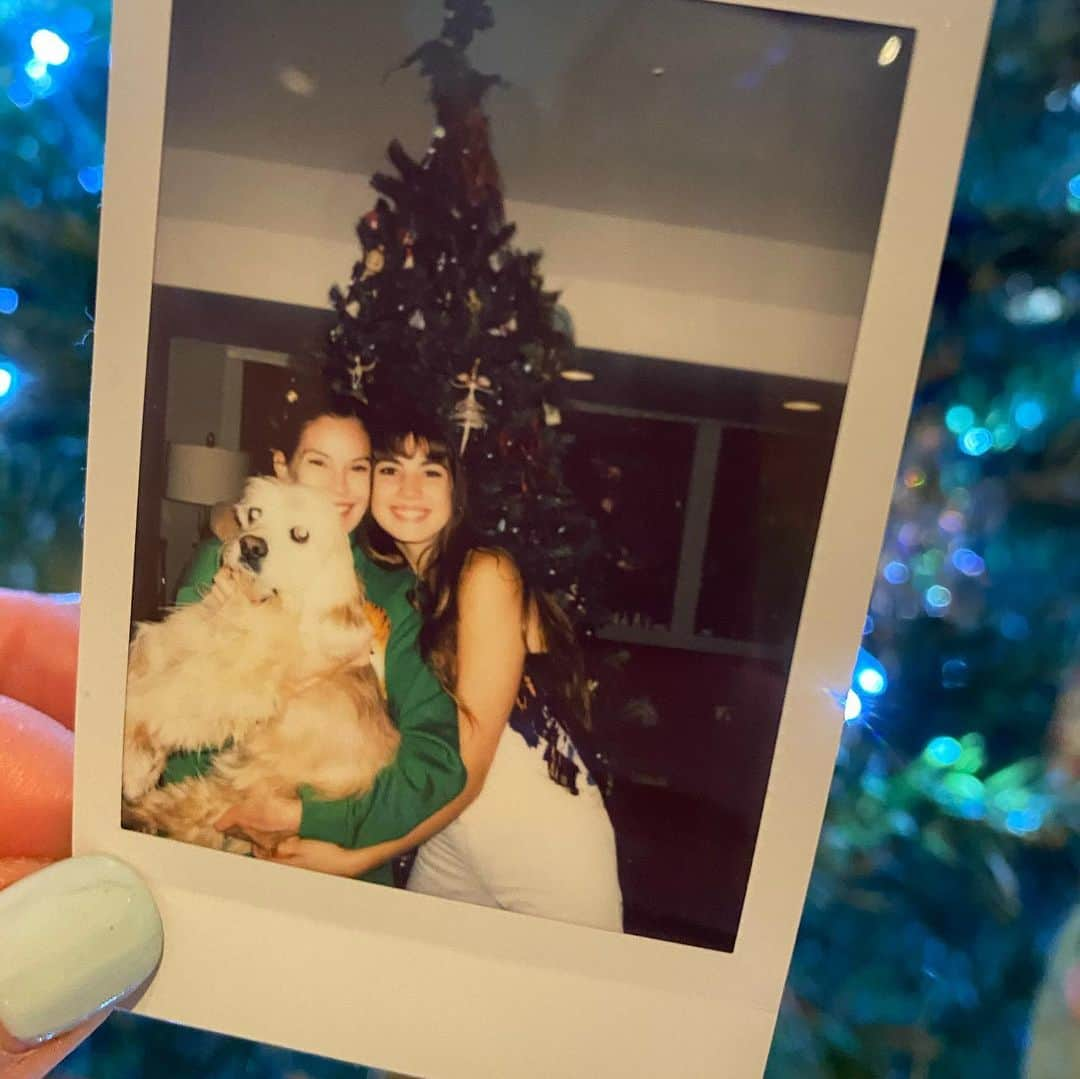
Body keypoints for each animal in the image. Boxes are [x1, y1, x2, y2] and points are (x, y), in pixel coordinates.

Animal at [122, 479, 399, 851]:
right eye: (255, 513)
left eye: (300, 534)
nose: (252, 546)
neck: (262, 605)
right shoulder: (194, 634)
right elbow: (148, 655)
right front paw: (140, 760)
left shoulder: (232, 685)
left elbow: (156, 701)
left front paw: (133, 757)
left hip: (243, 788)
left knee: (187, 811)